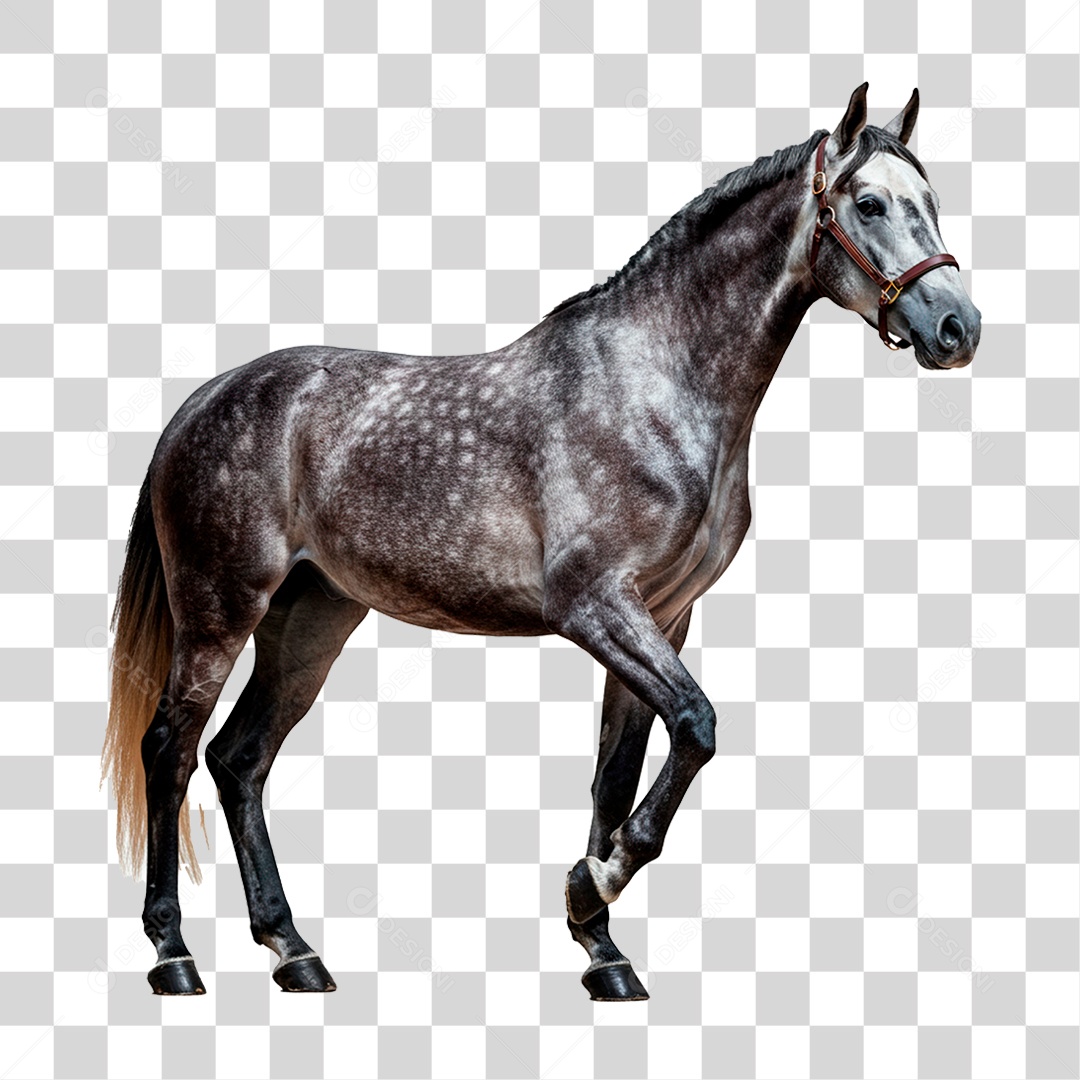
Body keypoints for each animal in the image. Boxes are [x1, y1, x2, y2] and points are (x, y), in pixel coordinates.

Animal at [101, 83, 980, 1001]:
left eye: (931, 202)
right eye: (869, 203)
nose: (958, 328)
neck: (653, 386)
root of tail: (201, 403)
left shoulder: (665, 617)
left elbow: (620, 774)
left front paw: (602, 948)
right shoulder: (595, 606)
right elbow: (697, 726)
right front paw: (593, 885)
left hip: (312, 618)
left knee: (239, 760)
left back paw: (294, 951)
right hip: (219, 612)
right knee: (169, 751)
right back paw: (173, 956)